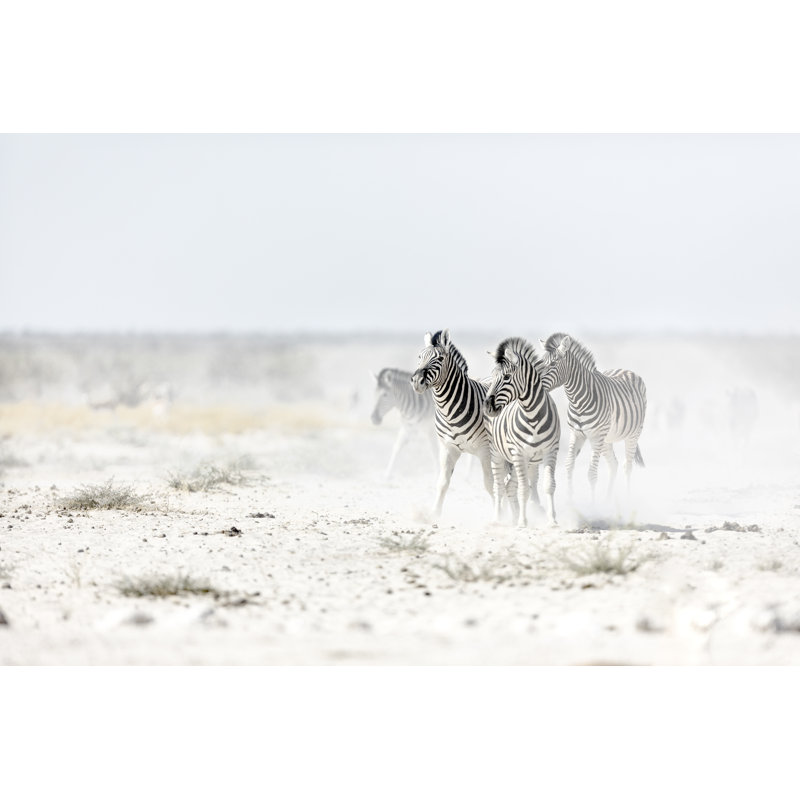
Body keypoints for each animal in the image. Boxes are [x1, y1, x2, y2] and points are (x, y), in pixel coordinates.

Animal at [411, 329, 494, 517]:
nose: (417, 381)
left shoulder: (485, 450)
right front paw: (434, 514)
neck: (449, 411)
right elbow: (442, 482)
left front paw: (502, 513)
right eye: (419, 356)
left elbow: (490, 485)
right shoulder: (448, 447)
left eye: (440, 358)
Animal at [484, 337, 560, 527]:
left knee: (510, 485)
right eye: (494, 376)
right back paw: (498, 519)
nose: (487, 406)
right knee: (499, 486)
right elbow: (524, 489)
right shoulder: (518, 453)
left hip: (529, 461)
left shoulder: (550, 451)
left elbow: (549, 485)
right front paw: (523, 522)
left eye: (506, 377)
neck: (532, 416)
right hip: (497, 453)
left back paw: (514, 516)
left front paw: (552, 520)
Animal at [541, 333, 646, 500]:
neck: (577, 401)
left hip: (633, 433)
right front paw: (570, 502)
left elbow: (591, 474)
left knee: (627, 466)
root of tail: (626, 370)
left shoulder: (596, 435)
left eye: (553, 364)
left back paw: (628, 500)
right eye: (540, 362)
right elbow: (569, 465)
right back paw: (608, 500)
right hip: (606, 439)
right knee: (613, 464)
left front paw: (593, 504)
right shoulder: (576, 434)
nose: (534, 384)